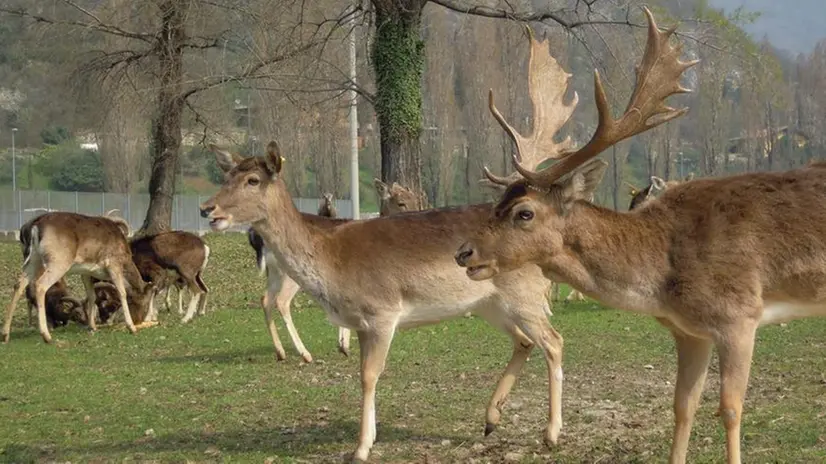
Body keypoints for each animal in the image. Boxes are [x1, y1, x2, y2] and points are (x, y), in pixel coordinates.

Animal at [2, 212, 154, 342]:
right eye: (145, 303)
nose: (139, 320)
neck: (126, 259)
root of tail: (35, 226)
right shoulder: (113, 264)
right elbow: (122, 292)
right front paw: (132, 328)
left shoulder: (86, 272)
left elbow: (92, 295)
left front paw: (93, 327)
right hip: (58, 261)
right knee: (40, 284)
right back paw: (46, 336)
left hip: (33, 259)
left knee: (19, 284)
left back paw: (5, 335)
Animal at [200, 139, 560, 464]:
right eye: (226, 175)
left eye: (253, 180)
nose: (207, 209)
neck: (330, 262)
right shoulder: (360, 324)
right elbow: (361, 372)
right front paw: (368, 438)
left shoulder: (382, 312)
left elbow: (369, 375)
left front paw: (360, 449)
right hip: (490, 305)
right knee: (525, 341)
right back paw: (490, 420)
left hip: (523, 297)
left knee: (553, 342)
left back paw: (551, 434)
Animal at [450, 8, 826, 464]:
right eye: (497, 202)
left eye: (525, 212)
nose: (464, 252)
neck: (662, 279)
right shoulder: (689, 331)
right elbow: (682, 406)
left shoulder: (739, 316)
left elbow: (731, 409)